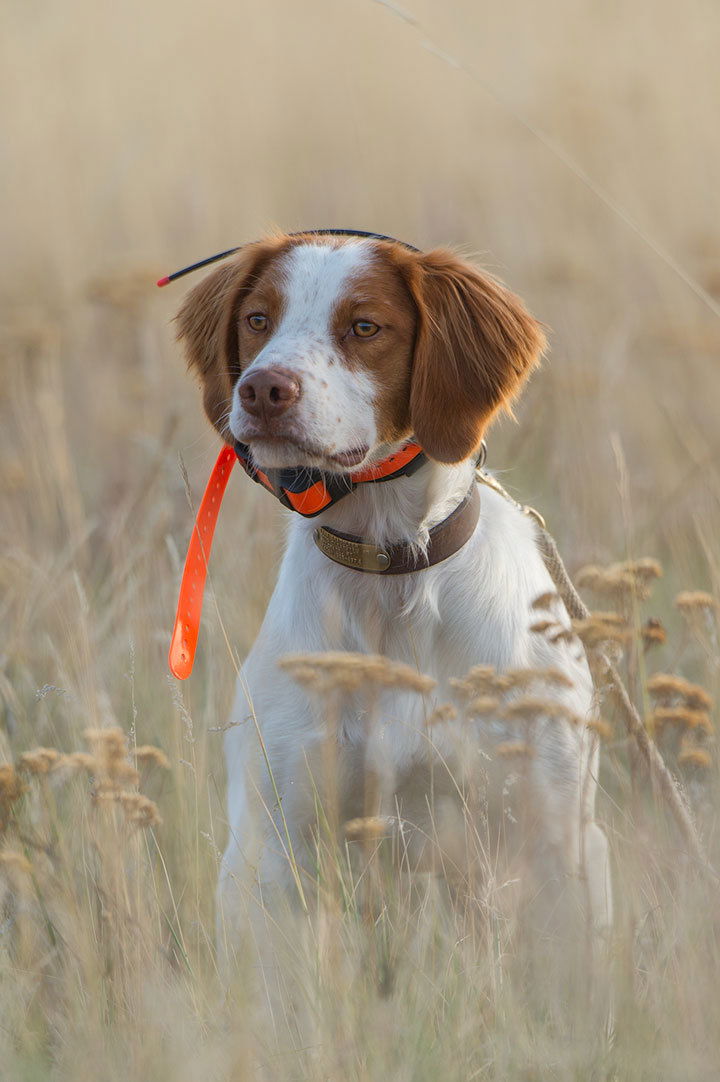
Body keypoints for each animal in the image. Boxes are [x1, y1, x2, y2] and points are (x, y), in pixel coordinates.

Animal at [174, 228, 606, 965]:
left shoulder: (554, 841)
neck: (390, 574)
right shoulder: (281, 848)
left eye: (365, 327)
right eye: (258, 319)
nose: (262, 389)